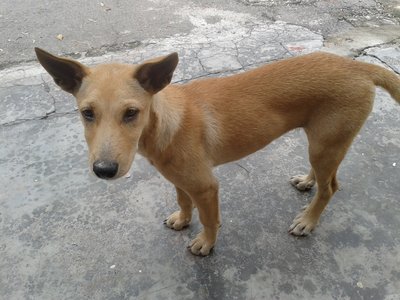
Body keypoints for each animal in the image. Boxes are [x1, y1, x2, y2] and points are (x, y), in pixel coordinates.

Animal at [35, 47, 400, 255]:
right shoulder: (180, 179)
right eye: (87, 113)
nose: (104, 171)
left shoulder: (206, 187)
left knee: (331, 187)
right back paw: (307, 182)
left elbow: (210, 220)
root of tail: (359, 68)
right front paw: (183, 219)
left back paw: (308, 221)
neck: (164, 124)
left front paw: (205, 244)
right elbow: (183, 201)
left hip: (326, 144)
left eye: (131, 113)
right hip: (321, 143)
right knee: (324, 178)